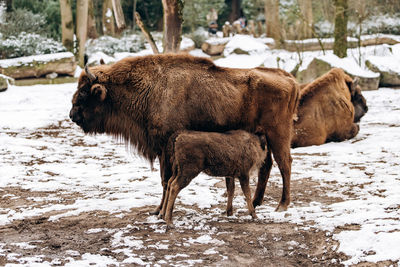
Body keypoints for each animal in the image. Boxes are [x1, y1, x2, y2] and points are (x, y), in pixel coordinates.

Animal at [69, 54, 300, 218]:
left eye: (84, 91)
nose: (72, 115)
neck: (150, 88)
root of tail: (290, 79)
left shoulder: (165, 148)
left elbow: (165, 180)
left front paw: (159, 211)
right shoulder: (163, 150)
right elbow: (166, 180)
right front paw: (157, 210)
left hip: (278, 133)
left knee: (284, 164)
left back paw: (282, 205)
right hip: (263, 135)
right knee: (267, 165)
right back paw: (258, 202)